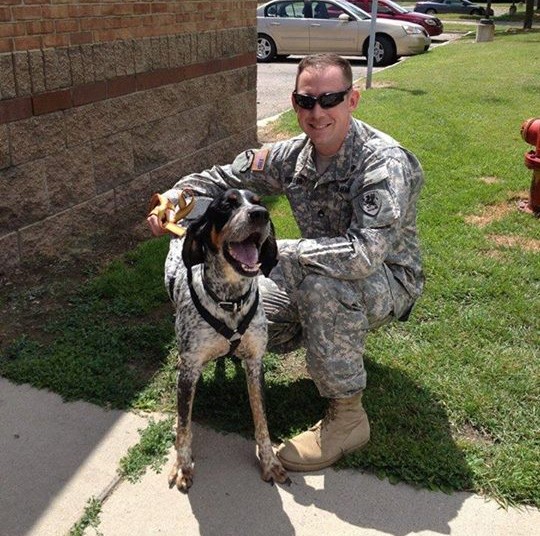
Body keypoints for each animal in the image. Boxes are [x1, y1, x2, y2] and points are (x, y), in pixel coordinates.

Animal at [166, 188, 288, 494]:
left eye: (258, 202)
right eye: (226, 206)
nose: (260, 215)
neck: (230, 300)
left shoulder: (255, 363)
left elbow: (261, 419)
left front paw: (269, 462)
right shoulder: (190, 370)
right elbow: (183, 427)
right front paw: (182, 466)